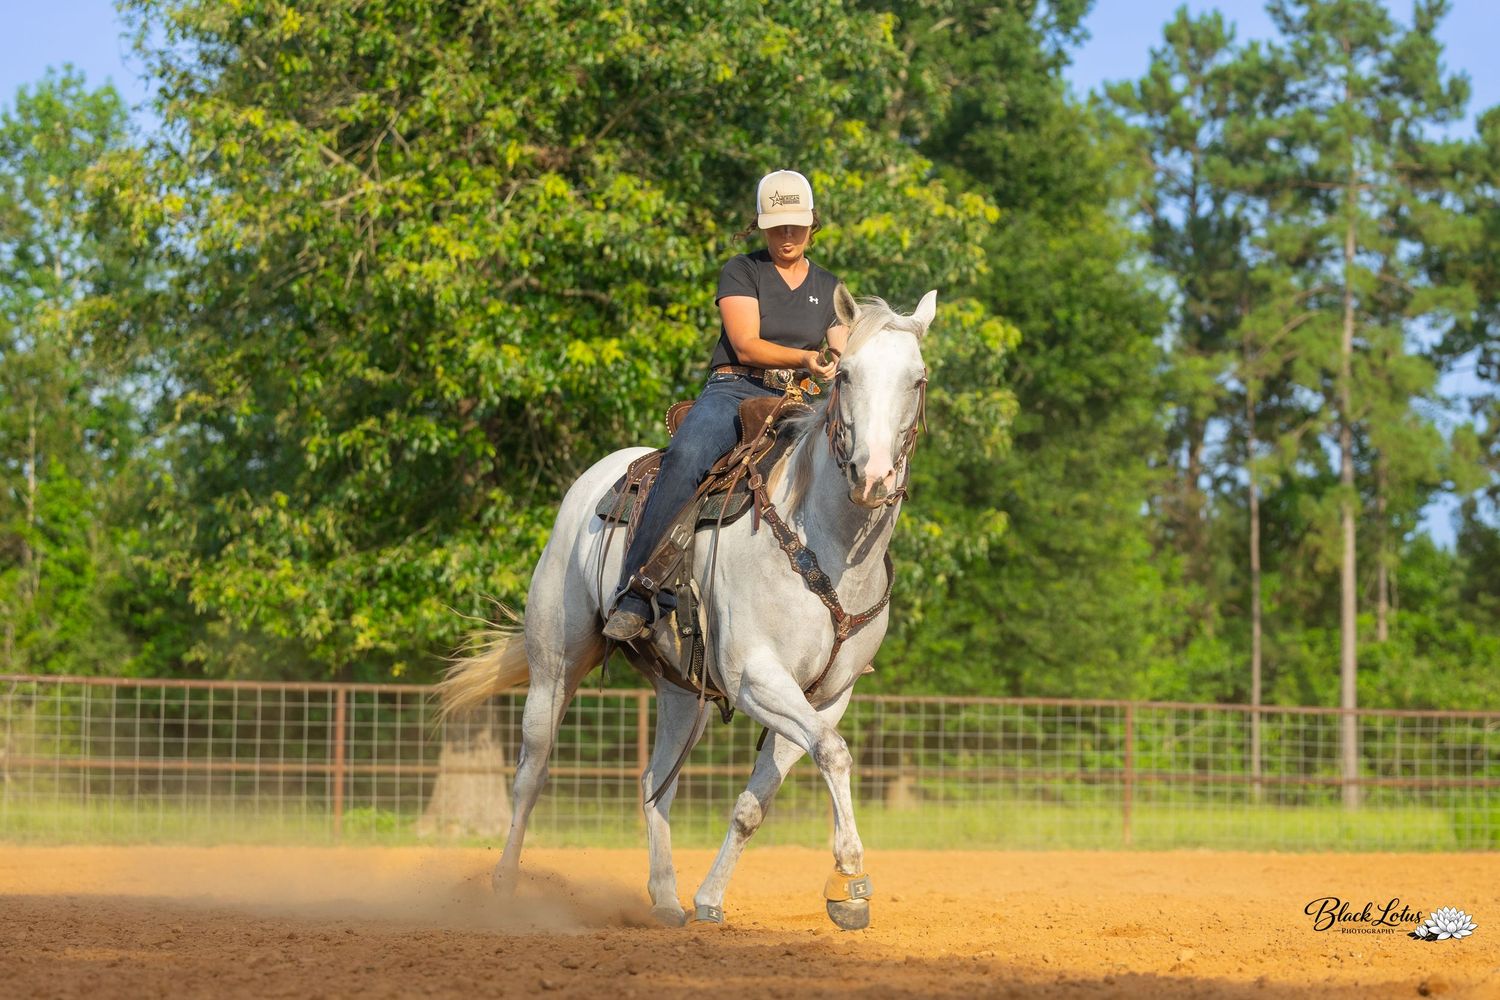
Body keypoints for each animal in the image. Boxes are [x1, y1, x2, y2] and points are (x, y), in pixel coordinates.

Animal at [438, 284, 936, 930]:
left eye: (917, 378)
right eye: (846, 373)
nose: (872, 476)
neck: (824, 544)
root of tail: (593, 481)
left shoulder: (827, 697)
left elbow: (758, 801)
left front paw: (711, 900)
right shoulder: (756, 678)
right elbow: (834, 753)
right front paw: (850, 880)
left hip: (682, 693)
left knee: (656, 781)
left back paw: (666, 899)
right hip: (554, 665)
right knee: (532, 773)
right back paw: (502, 889)